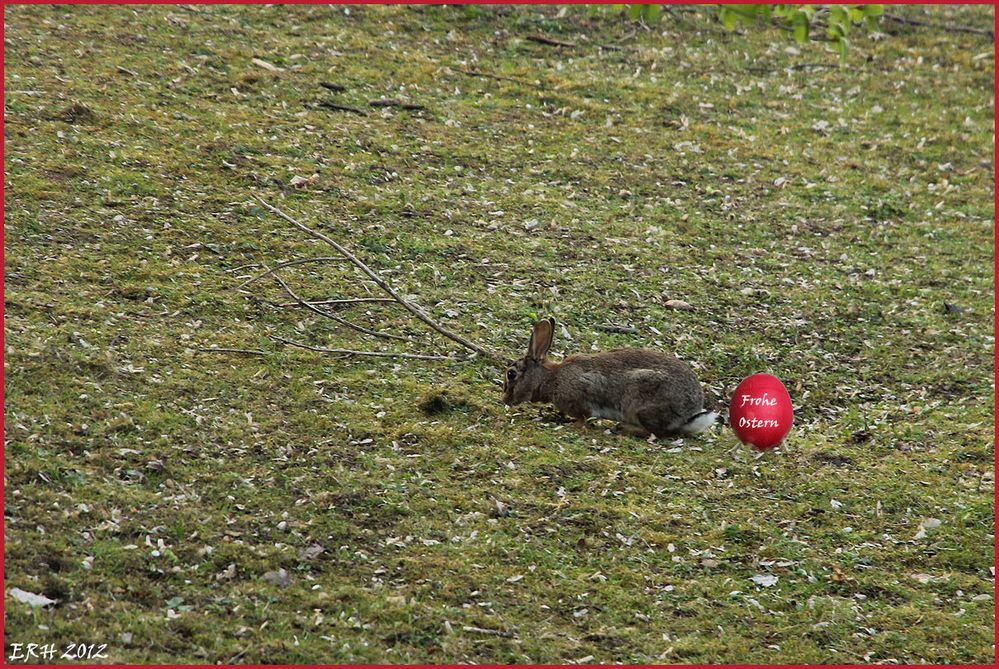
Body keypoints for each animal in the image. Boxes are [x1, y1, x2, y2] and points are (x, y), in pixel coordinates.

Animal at [504, 320, 716, 438]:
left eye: (511, 374)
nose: (504, 400)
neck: (551, 377)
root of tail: (689, 415)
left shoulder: (580, 399)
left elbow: (583, 417)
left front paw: (572, 425)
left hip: (641, 401)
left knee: (657, 432)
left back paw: (622, 428)